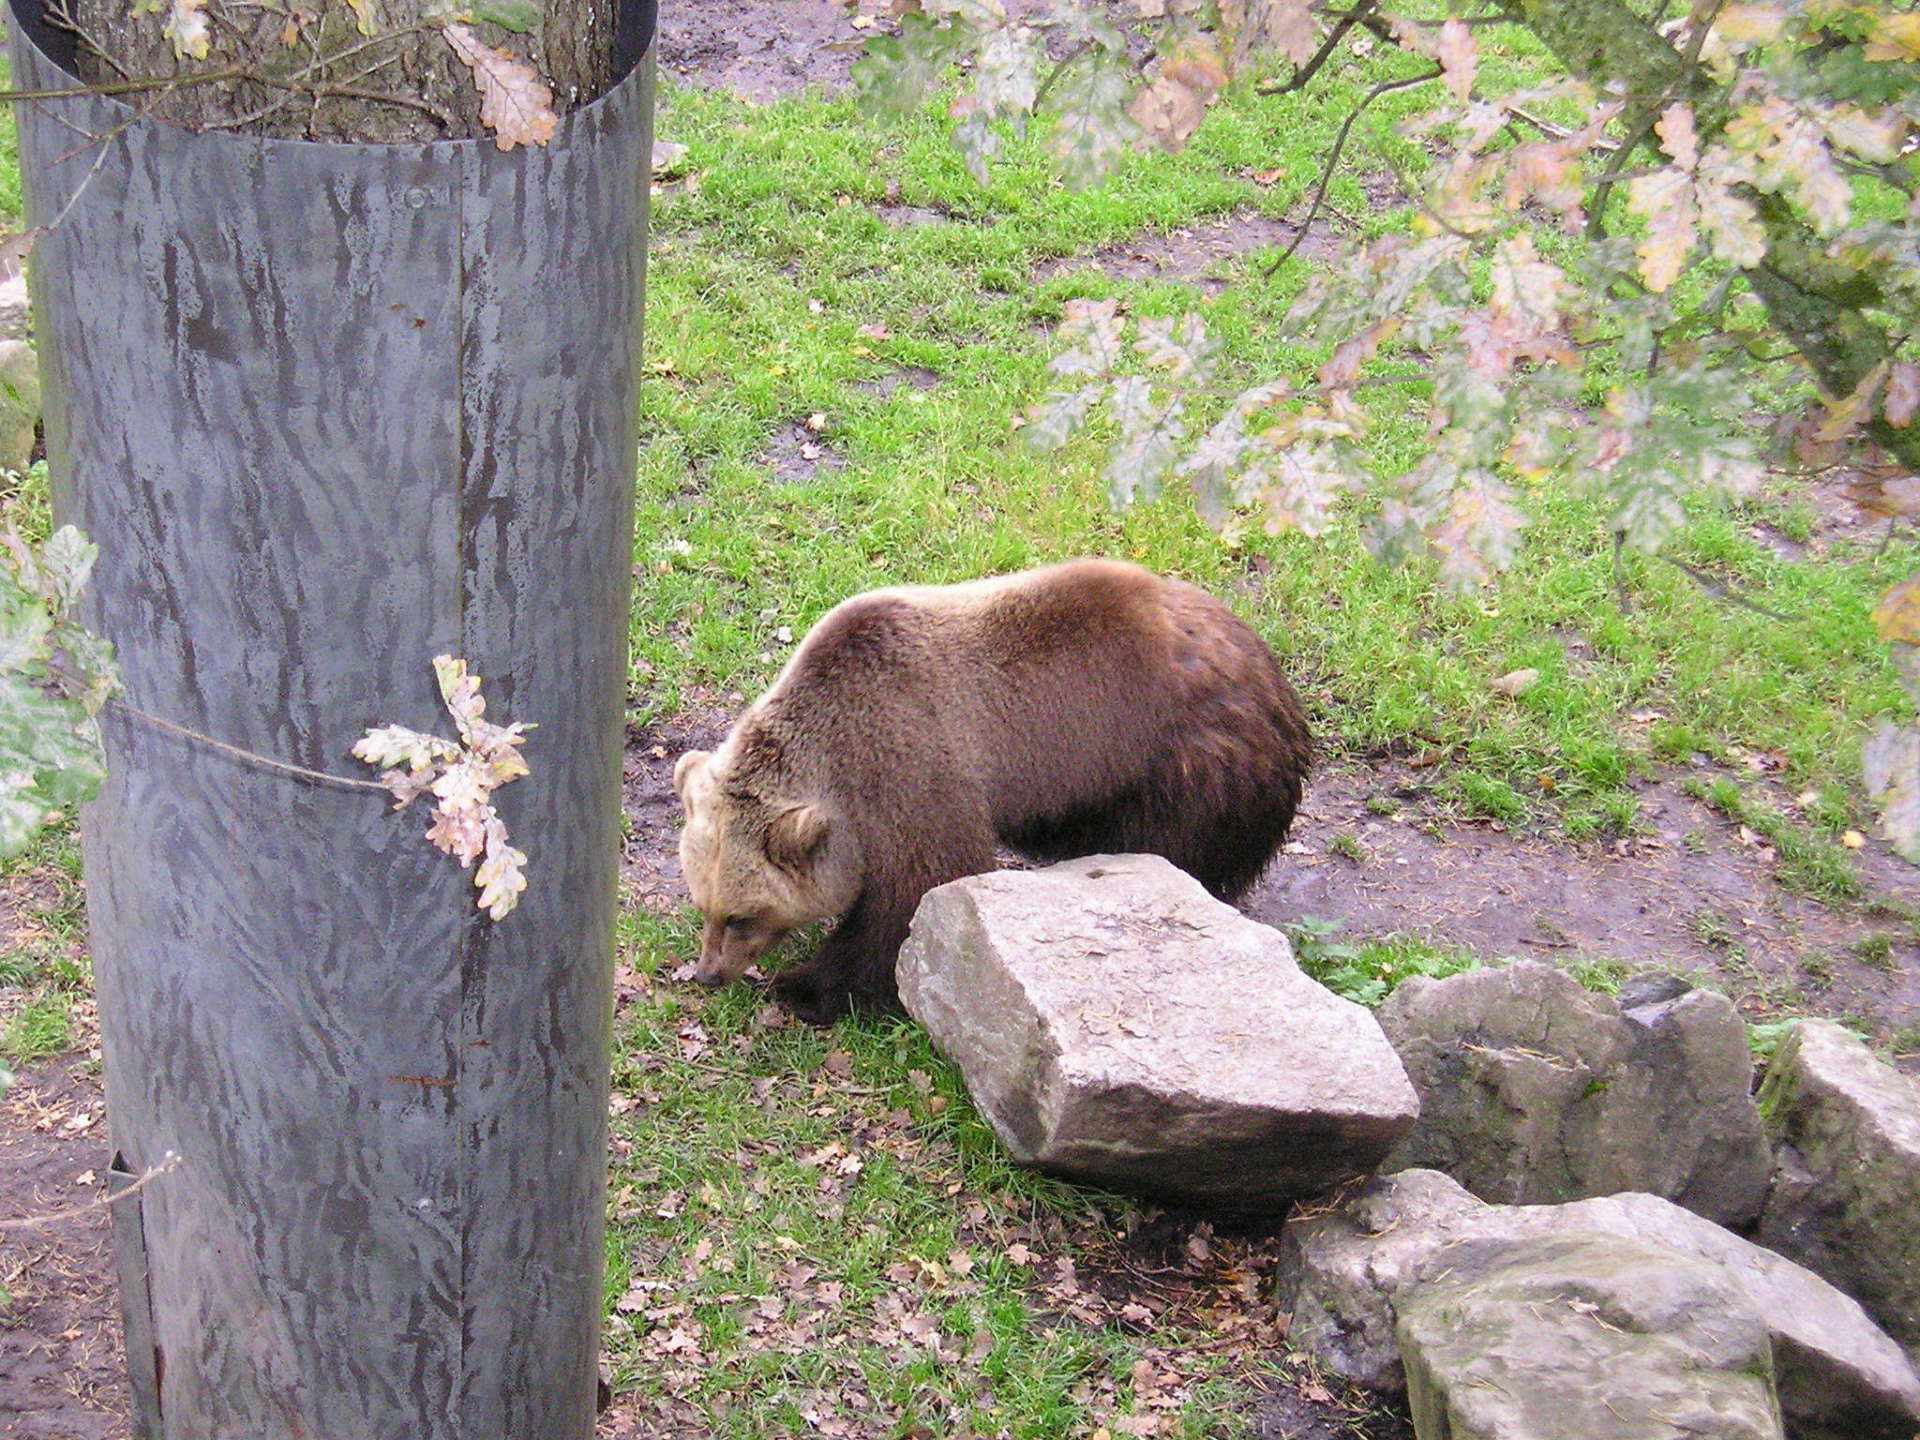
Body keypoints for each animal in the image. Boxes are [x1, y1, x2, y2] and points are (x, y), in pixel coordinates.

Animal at [673, 558, 1311, 1025]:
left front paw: (806, 988)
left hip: (1183, 764)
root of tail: (1268, 668)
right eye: (704, 905)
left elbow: (915, 892)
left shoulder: (912, 763)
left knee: (1174, 849)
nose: (708, 974)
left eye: (741, 915)